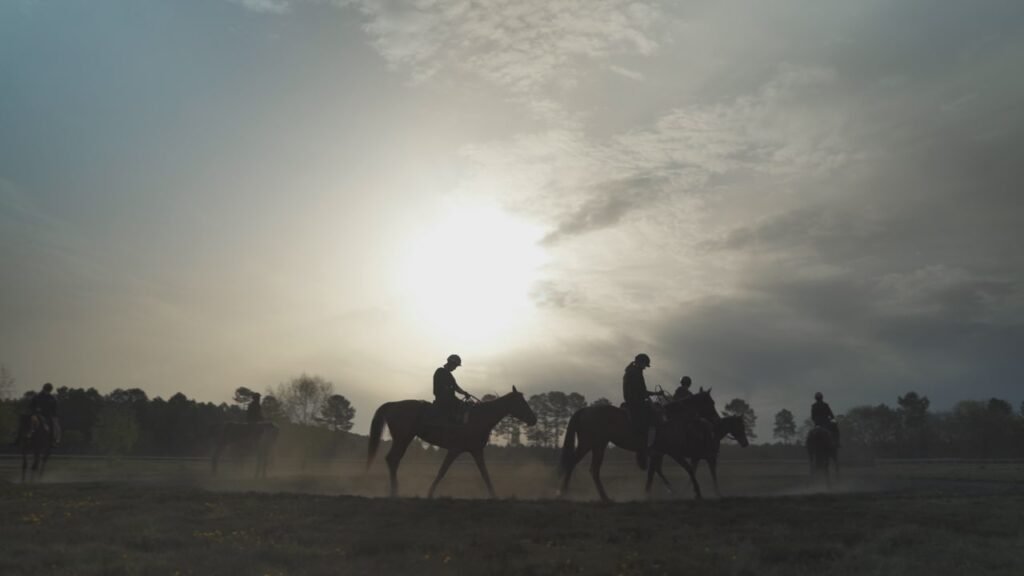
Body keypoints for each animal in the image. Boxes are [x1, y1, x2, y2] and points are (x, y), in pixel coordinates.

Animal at [366, 383, 536, 496]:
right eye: (521, 402)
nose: (533, 419)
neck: (479, 417)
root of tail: (392, 404)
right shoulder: (455, 450)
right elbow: (442, 471)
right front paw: (429, 493)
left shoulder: (476, 451)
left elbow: (485, 474)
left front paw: (494, 496)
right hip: (403, 439)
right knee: (392, 459)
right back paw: (394, 491)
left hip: (402, 439)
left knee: (393, 460)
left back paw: (393, 490)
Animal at [561, 387, 720, 500]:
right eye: (711, 403)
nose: (716, 420)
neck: (670, 419)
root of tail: (583, 411)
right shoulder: (673, 452)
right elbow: (689, 469)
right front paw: (697, 492)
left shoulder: (657, 453)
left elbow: (652, 475)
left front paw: (648, 494)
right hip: (588, 444)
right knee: (574, 463)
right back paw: (564, 493)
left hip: (598, 446)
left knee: (592, 469)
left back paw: (604, 497)